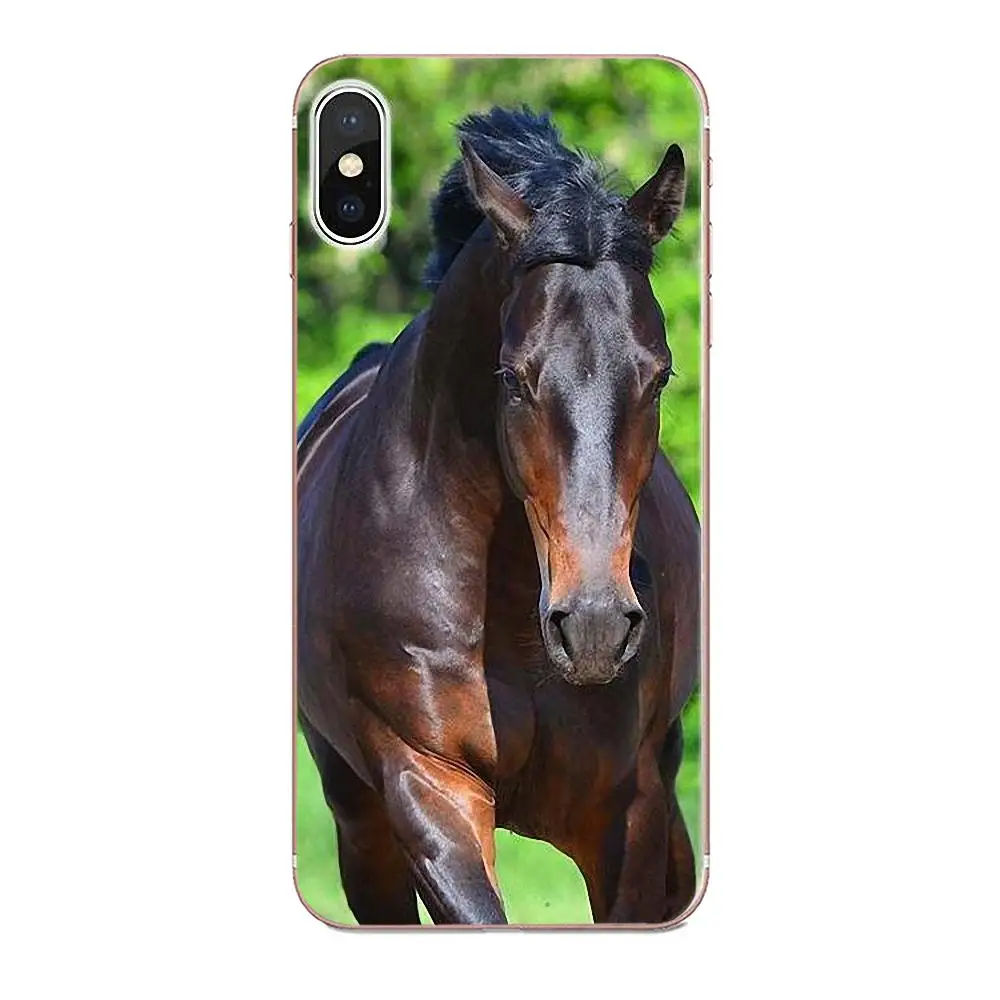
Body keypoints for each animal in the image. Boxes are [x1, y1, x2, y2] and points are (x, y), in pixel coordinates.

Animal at [297, 108, 700, 925]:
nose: (595, 626)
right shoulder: (429, 786)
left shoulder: (629, 807)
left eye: (658, 374)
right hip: (358, 821)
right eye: (513, 377)